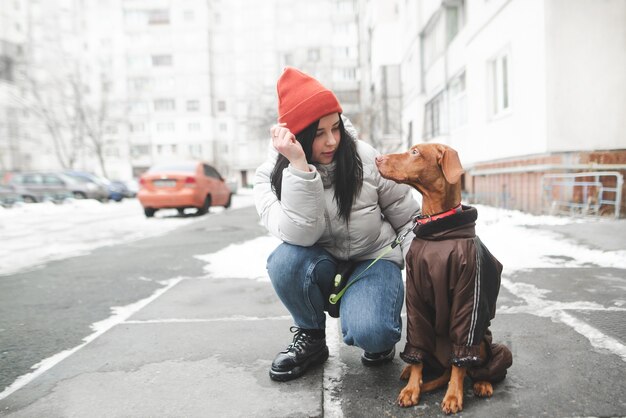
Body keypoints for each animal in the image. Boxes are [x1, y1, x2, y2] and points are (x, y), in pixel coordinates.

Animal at [372, 144, 510, 414]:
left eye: (415, 152)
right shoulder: (415, 296)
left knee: (472, 367)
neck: (437, 229)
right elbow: (417, 349)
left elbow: (461, 363)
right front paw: (412, 389)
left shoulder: (469, 292)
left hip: (487, 345)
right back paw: (413, 373)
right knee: (434, 362)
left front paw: (454, 395)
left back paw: (483, 383)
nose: (377, 158)